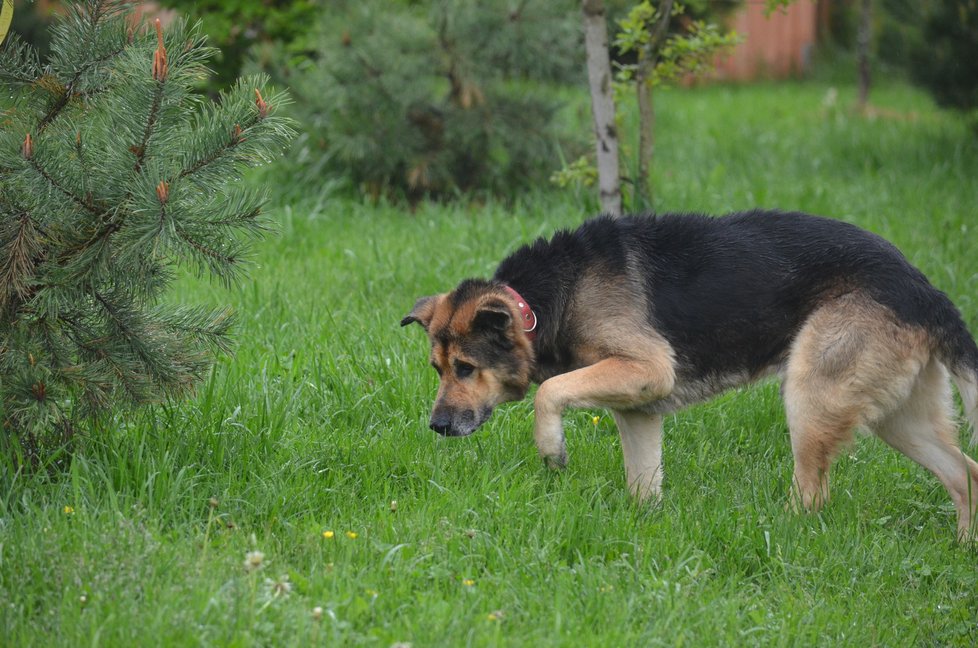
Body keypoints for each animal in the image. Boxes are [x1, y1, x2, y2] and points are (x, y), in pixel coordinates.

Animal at [400, 210, 976, 540]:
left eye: (466, 368)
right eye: (437, 369)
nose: (437, 426)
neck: (536, 306)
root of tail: (923, 289)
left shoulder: (648, 368)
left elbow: (550, 393)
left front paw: (552, 450)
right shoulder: (638, 409)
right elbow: (643, 486)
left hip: (811, 396)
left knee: (813, 496)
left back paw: (780, 535)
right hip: (897, 419)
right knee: (964, 473)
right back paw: (962, 548)